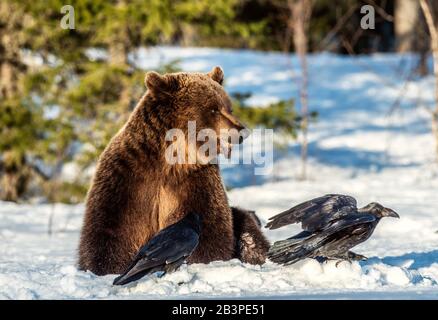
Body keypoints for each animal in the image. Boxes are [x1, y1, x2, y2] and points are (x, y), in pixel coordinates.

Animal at [78, 65, 270, 276]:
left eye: (229, 107)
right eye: (213, 108)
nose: (241, 131)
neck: (172, 159)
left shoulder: (194, 181)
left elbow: (206, 232)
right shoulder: (128, 179)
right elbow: (112, 234)